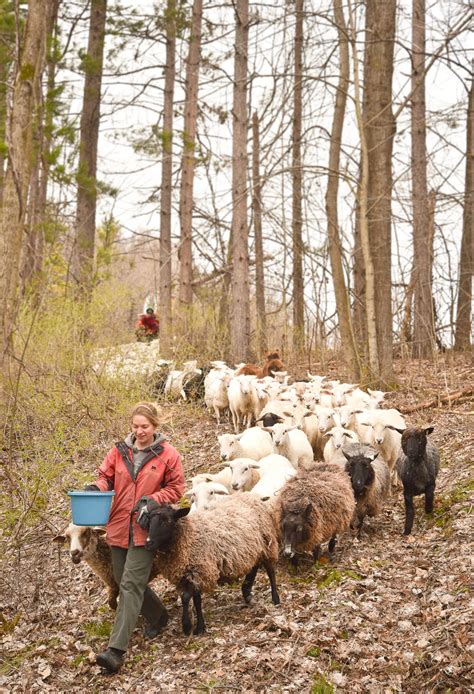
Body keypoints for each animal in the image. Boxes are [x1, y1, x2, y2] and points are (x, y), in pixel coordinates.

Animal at [143, 494, 280, 636]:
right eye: (148, 522)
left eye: (167, 521)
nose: (148, 543)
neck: (190, 536)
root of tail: (253, 496)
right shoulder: (191, 574)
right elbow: (196, 600)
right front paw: (200, 627)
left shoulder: (200, 571)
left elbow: (186, 598)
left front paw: (187, 626)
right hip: (253, 548)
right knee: (254, 566)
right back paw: (246, 592)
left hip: (267, 542)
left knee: (270, 570)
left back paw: (275, 599)